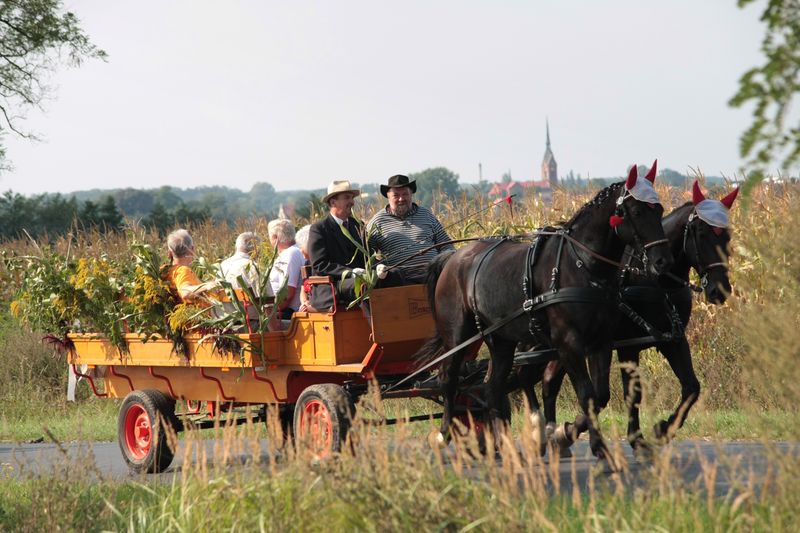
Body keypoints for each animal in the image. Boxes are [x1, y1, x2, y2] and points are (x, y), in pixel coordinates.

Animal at [418, 163, 676, 462]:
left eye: (659, 209)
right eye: (636, 212)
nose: (663, 261)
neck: (581, 265)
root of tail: (453, 257)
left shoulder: (601, 342)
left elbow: (599, 396)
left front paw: (574, 436)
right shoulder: (569, 344)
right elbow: (586, 394)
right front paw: (577, 438)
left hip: (501, 340)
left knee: (492, 389)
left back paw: (504, 446)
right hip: (457, 335)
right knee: (449, 380)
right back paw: (443, 435)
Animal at [536, 181, 740, 456]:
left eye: (727, 235)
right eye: (701, 233)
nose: (720, 289)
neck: (654, 279)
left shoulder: (673, 339)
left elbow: (691, 387)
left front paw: (662, 429)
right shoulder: (627, 345)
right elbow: (631, 394)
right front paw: (635, 437)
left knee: (549, 381)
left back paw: (556, 438)